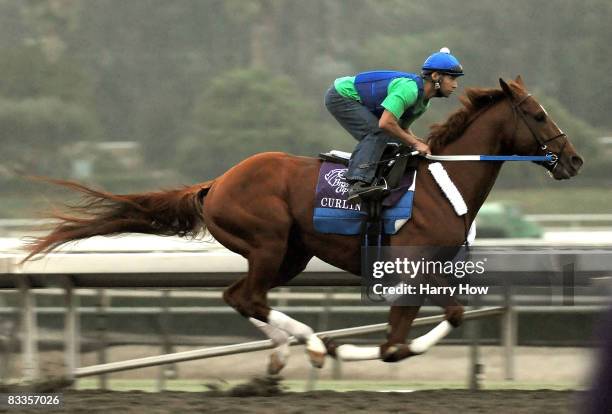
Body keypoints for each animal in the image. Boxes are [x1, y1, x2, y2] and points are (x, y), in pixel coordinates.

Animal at [23, 76, 584, 374]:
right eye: (537, 114)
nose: (574, 160)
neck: (442, 182)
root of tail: (217, 182)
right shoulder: (406, 265)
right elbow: (396, 340)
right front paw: (349, 348)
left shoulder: (436, 268)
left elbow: (452, 316)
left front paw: (364, 348)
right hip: (269, 242)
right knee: (249, 297)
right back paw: (313, 344)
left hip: (291, 253)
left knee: (240, 296)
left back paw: (281, 355)